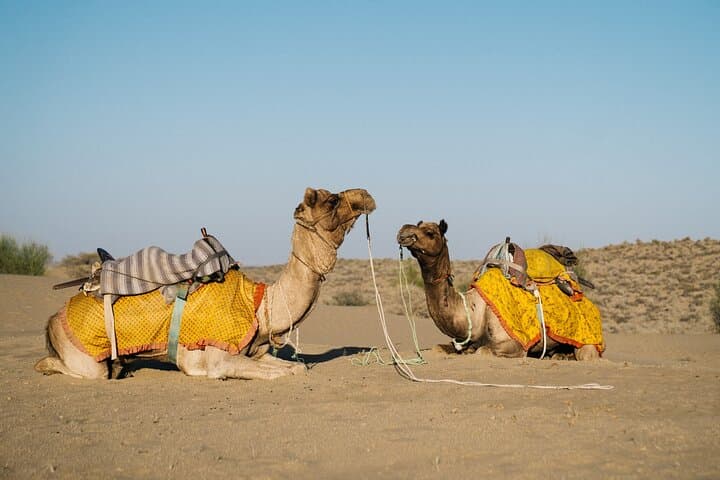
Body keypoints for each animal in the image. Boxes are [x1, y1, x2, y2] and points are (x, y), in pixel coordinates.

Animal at [35, 187, 376, 380]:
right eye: (332, 200)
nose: (366, 195)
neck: (260, 305)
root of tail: (53, 318)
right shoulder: (215, 359)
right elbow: (278, 373)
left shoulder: (258, 352)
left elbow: (296, 367)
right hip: (85, 357)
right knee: (63, 365)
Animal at [397, 220, 600, 361]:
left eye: (430, 232)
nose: (403, 231)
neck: (474, 310)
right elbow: (438, 348)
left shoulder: (513, 343)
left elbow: (482, 351)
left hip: (588, 342)